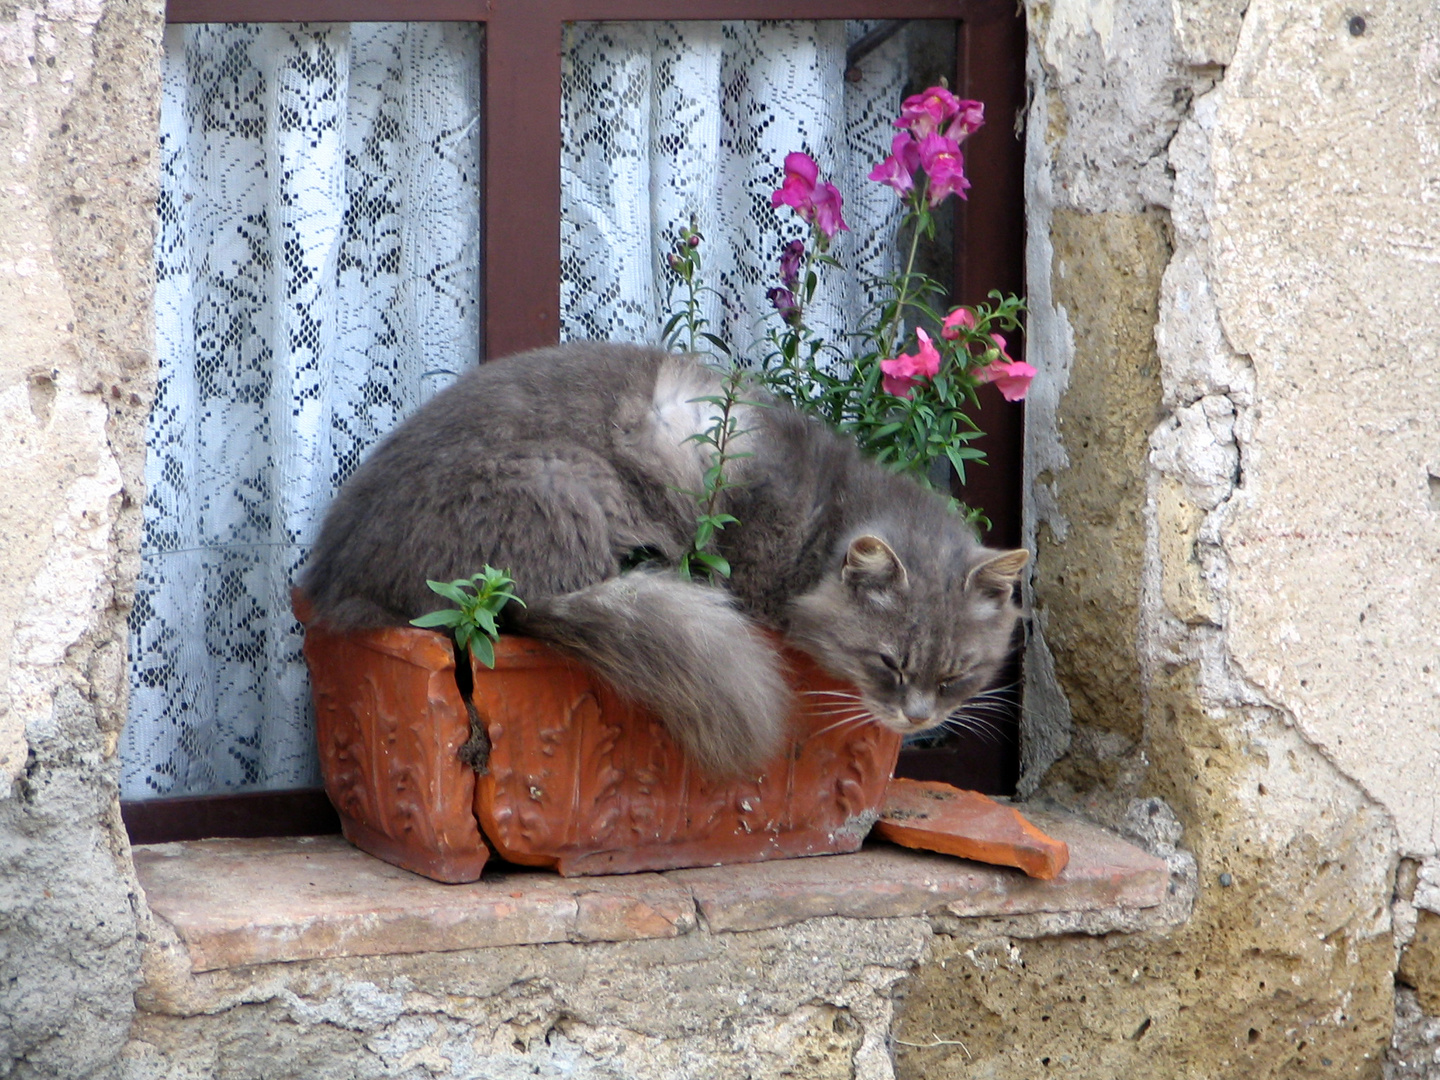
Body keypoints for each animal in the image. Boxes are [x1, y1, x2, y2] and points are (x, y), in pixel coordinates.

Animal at [300, 347, 1025, 777]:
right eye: (888, 664)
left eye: (957, 675)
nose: (920, 718)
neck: (828, 507)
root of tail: (341, 577)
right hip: (572, 486)